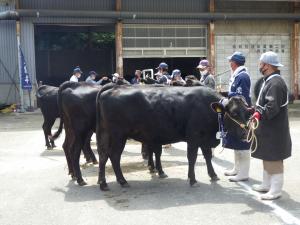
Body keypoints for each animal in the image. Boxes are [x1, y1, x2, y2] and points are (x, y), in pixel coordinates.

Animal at [96, 85, 251, 191]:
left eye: (248, 113)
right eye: (234, 113)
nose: (245, 134)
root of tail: (113, 88)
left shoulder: (204, 138)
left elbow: (207, 156)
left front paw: (213, 175)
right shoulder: (194, 137)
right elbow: (192, 158)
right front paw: (193, 179)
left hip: (105, 134)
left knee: (103, 156)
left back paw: (103, 183)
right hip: (118, 135)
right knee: (114, 156)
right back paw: (122, 181)